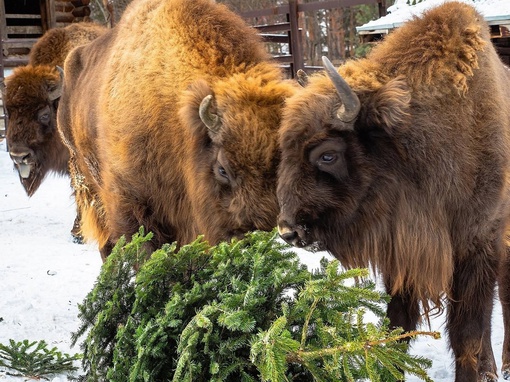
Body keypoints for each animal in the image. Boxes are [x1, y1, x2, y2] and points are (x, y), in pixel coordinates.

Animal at [276, 2, 510, 380]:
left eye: (328, 154)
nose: (288, 230)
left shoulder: (477, 243)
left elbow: (467, 336)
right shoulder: (401, 253)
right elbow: (398, 328)